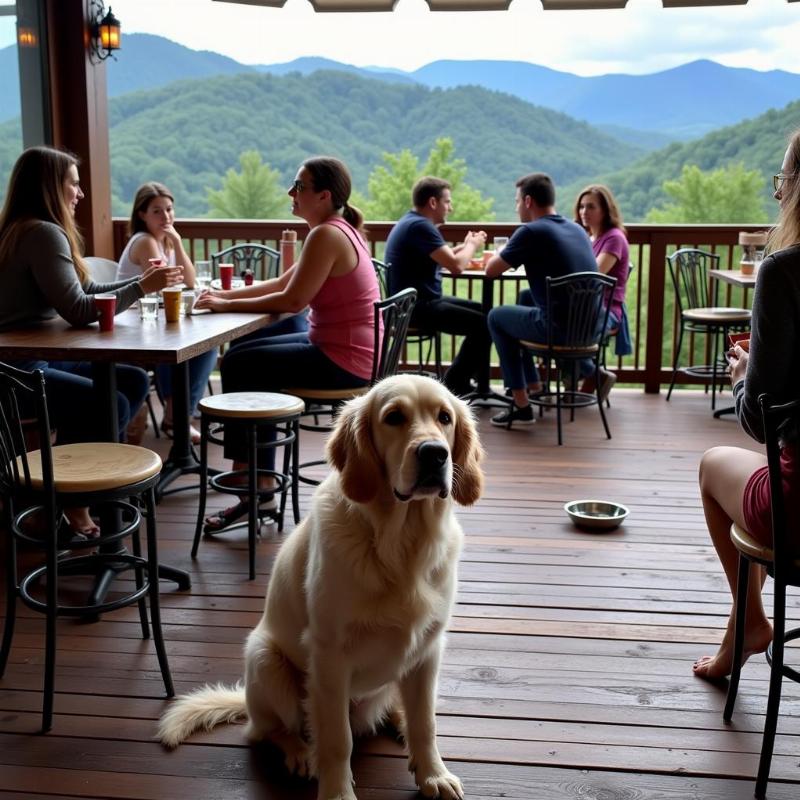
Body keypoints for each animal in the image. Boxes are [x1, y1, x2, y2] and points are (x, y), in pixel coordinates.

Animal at [156, 376, 482, 800]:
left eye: (444, 418)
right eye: (394, 417)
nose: (434, 454)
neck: (399, 544)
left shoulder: (428, 649)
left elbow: (425, 722)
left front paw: (432, 774)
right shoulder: (330, 657)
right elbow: (337, 739)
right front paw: (337, 792)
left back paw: (397, 721)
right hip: (265, 659)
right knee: (269, 729)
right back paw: (299, 752)